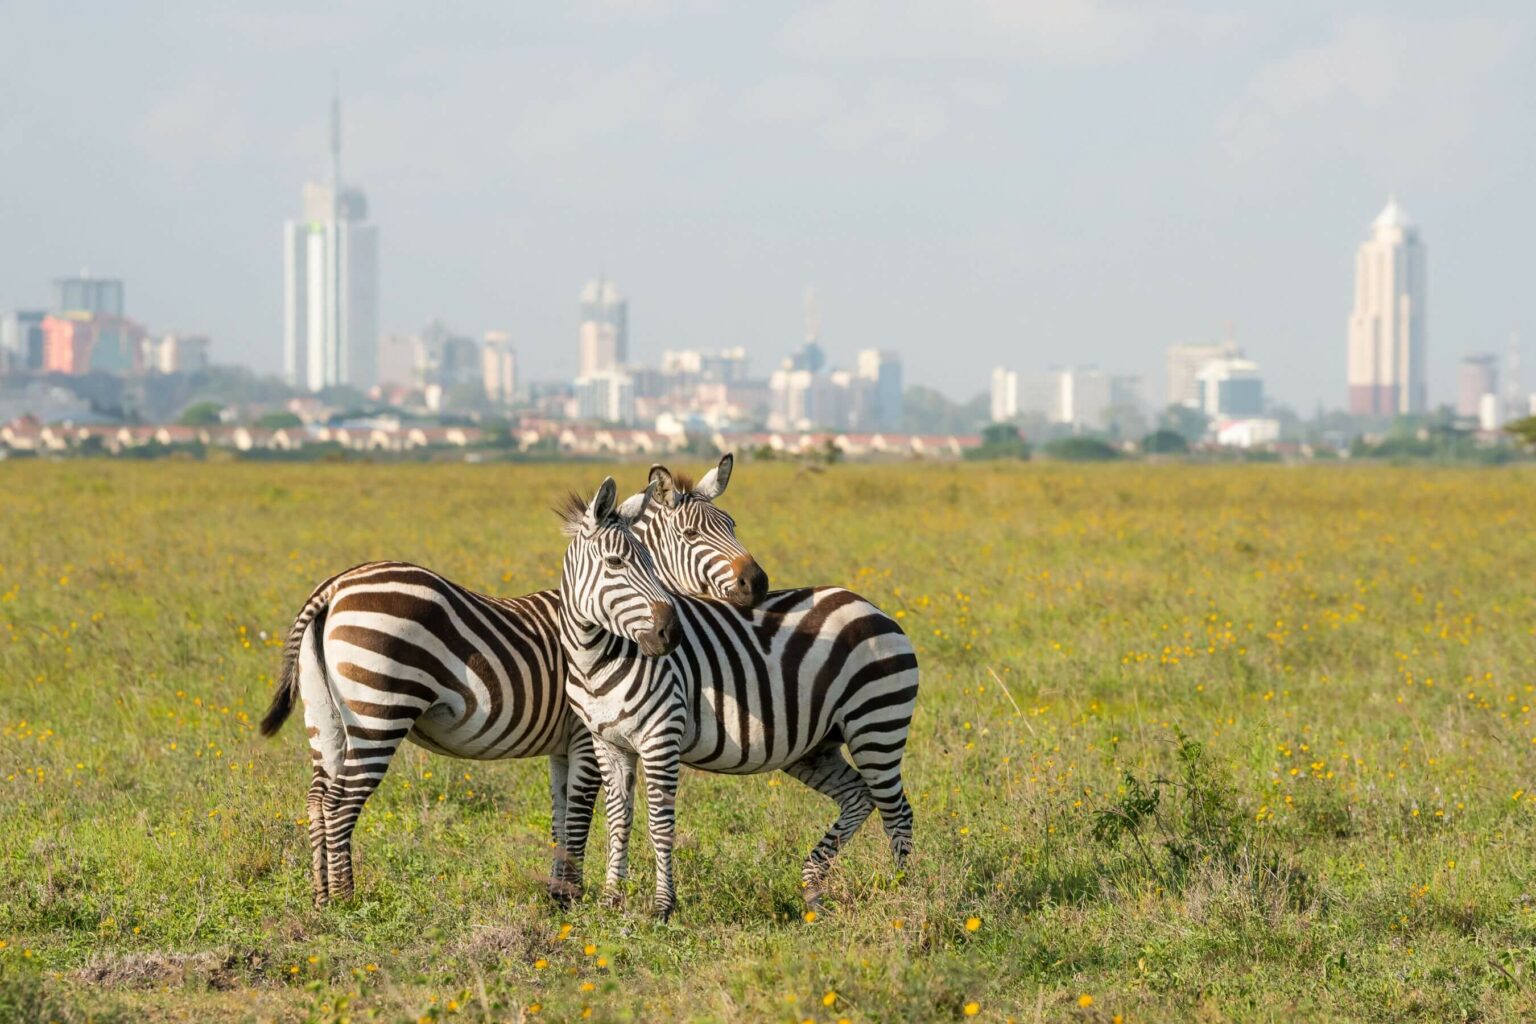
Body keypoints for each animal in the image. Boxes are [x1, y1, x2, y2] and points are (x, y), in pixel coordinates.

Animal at [256, 476, 697, 908]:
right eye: (616, 563)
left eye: (652, 564)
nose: (671, 632)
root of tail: (334, 587)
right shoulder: (586, 737)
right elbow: (579, 814)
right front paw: (571, 896)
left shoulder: (563, 745)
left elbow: (560, 815)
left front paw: (557, 895)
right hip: (377, 713)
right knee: (340, 804)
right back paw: (346, 900)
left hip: (325, 717)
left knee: (317, 800)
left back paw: (321, 897)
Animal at [561, 479, 920, 919]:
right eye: (614, 563)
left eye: (649, 562)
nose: (670, 634)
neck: (596, 659)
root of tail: (872, 607)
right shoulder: (608, 743)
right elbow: (617, 821)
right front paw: (611, 900)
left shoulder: (661, 738)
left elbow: (660, 824)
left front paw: (663, 906)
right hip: (816, 747)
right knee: (859, 796)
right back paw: (813, 886)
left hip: (877, 725)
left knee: (897, 812)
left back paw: (901, 893)